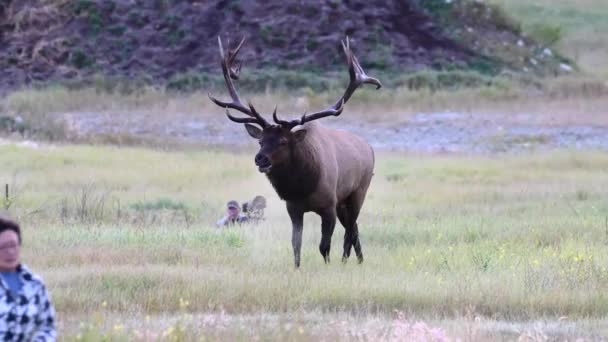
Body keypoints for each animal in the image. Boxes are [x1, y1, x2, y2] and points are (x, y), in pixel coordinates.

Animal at [209, 36, 380, 268]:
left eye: (283, 141)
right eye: (260, 141)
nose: (260, 159)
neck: (303, 187)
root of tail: (369, 148)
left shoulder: (328, 205)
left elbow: (324, 245)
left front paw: (328, 266)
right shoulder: (294, 208)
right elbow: (295, 244)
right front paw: (297, 268)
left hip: (358, 191)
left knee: (350, 231)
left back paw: (346, 261)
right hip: (343, 201)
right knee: (354, 228)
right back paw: (360, 260)